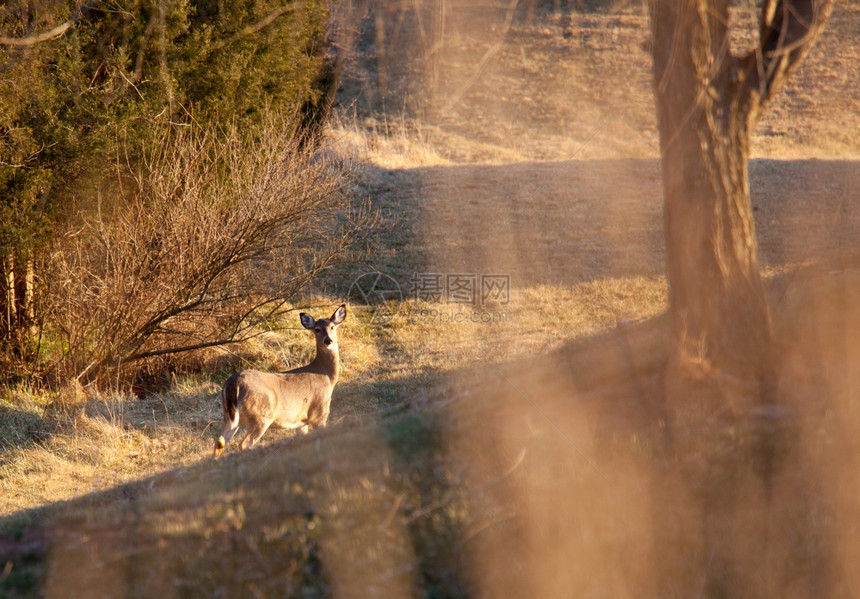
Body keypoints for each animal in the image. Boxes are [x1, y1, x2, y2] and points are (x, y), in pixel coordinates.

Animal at [212, 302, 346, 462]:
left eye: (332, 327)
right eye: (317, 329)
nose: (328, 340)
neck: (325, 375)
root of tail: (234, 382)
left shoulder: (302, 422)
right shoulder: (319, 412)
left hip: (230, 415)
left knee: (219, 442)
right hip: (262, 414)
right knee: (244, 444)